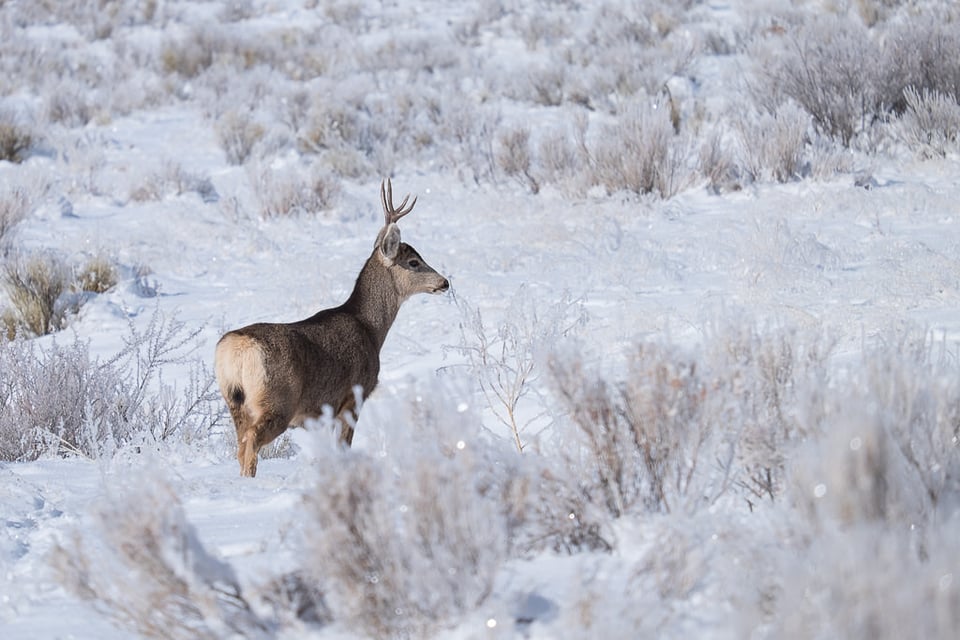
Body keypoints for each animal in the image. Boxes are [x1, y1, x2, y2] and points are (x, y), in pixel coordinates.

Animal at [214, 179, 450, 476]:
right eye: (414, 262)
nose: (444, 282)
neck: (371, 329)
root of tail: (236, 347)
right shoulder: (353, 396)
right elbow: (344, 447)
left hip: (234, 401)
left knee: (240, 444)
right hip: (277, 400)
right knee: (252, 442)